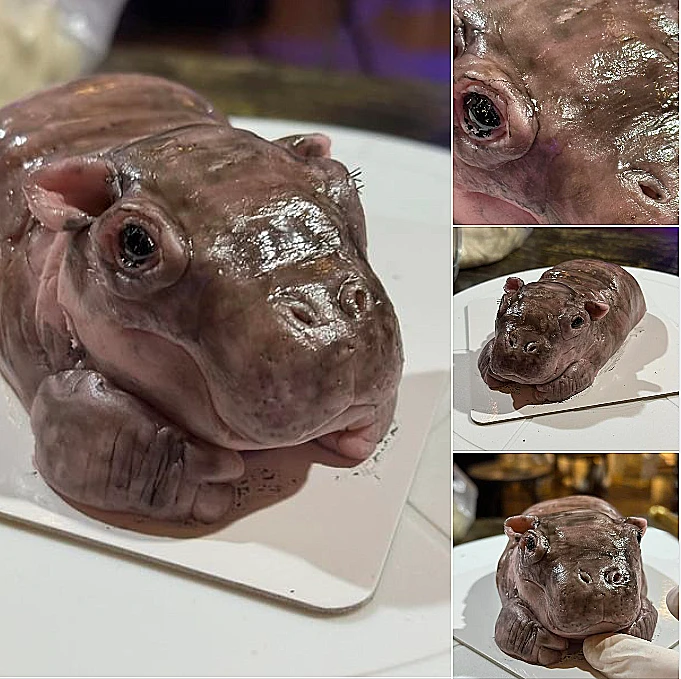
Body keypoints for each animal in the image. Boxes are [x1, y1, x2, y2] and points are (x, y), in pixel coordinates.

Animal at [478, 259, 646, 402]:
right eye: (505, 301)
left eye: (577, 322)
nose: (520, 345)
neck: (564, 286)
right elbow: (485, 353)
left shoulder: (601, 345)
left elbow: (580, 370)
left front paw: (546, 390)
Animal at [496, 495, 658, 666]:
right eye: (530, 542)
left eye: (637, 536)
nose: (599, 579)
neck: (574, 512)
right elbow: (512, 618)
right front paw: (549, 644)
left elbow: (649, 610)